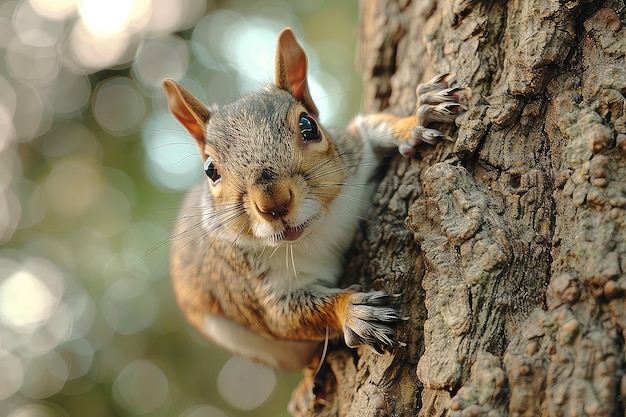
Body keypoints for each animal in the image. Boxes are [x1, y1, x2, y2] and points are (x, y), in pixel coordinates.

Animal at [161, 27, 464, 368]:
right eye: (210, 170)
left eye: (309, 126)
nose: (274, 204)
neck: (316, 229)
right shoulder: (259, 288)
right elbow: (290, 318)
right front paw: (354, 312)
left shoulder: (354, 148)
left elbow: (376, 126)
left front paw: (418, 116)